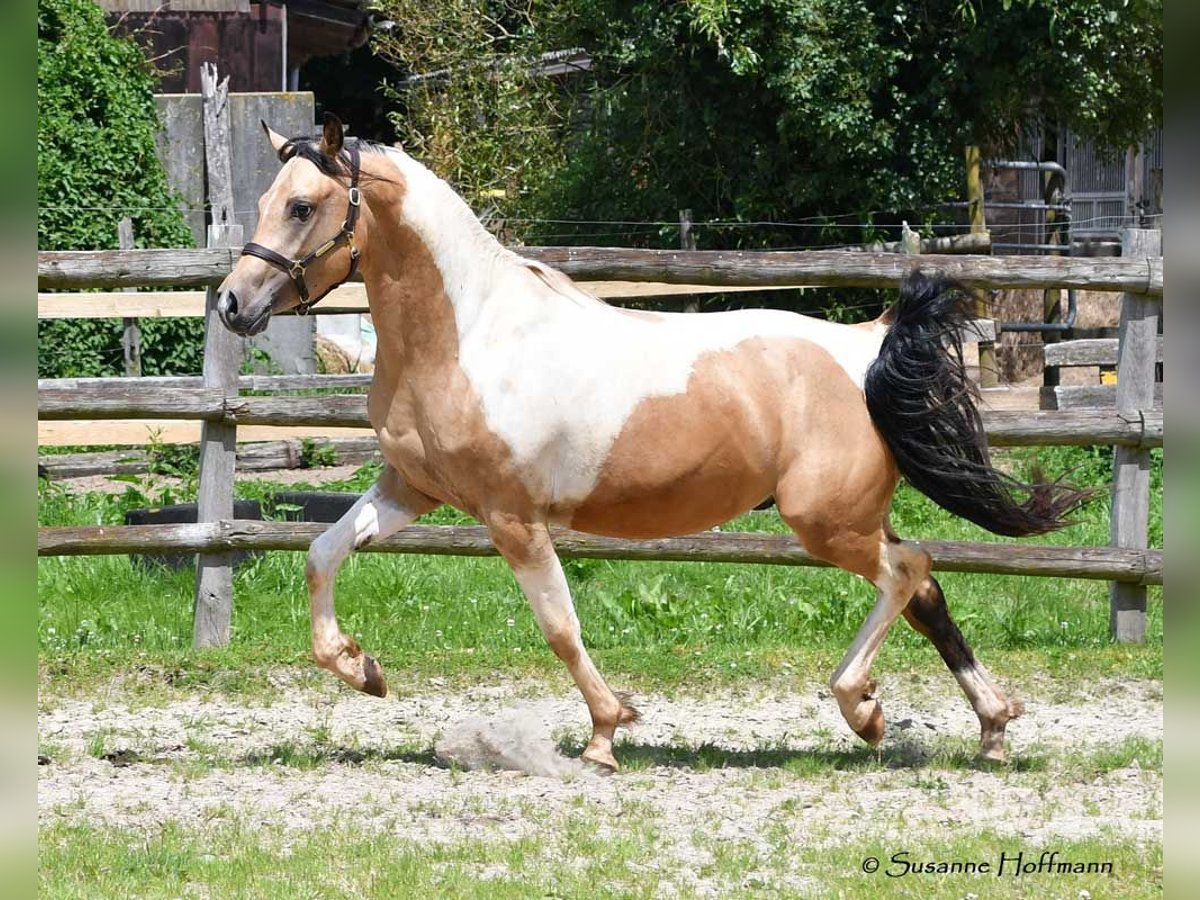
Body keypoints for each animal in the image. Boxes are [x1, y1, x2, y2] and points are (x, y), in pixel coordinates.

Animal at [213, 116, 1089, 772]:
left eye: (302, 206)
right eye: (265, 199)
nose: (231, 303)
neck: (468, 335)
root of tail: (866, 346)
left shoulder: (510, 516)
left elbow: (560, 627)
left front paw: (606, 732)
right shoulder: (411, 488)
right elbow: (320, 553)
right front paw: (360, 668)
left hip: (825, 520)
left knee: (909, 572)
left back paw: (862, 707)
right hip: (852, 516)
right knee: (926, 588)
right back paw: (986, 727)